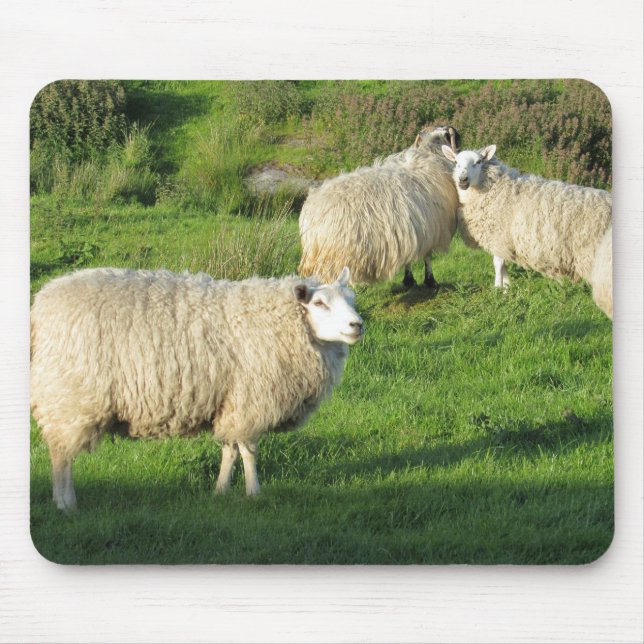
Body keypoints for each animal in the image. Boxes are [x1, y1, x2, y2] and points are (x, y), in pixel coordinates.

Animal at [30, 266, 363, 511]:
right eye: (319, 303)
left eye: (351, 300)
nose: (357, 325)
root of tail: (42, 304)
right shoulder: (249, 400)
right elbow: (249, 450)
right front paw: (254, 492)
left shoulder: (230, 402)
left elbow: (230, 449)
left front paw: (220, 490)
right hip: (71, 396)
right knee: (61, 453)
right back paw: (66, 504)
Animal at [298, 125, 460, 288]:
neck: (432, 154)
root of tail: (311, 217)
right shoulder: (433, 228)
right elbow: (428, 256)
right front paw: (430, 280)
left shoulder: (411, 231)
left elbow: (410, 258)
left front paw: (409, 280)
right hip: (335, 257)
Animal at [441, 144, 612, 318]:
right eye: (456, 162)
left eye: (478, 162)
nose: (463, 180)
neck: (495, 188)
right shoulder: (505, 242)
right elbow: (504, 265)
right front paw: (507, 288)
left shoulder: (499, 237)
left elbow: (498, 264)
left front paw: (497, 289)